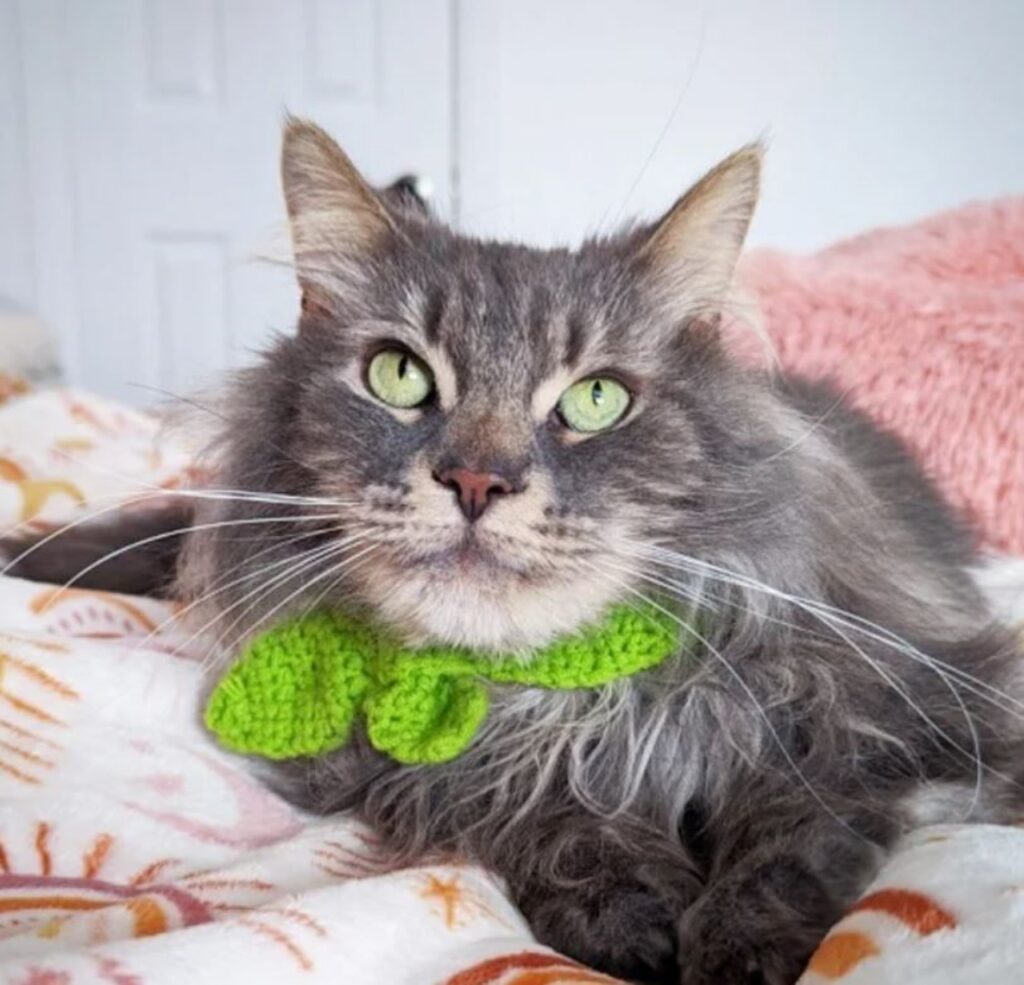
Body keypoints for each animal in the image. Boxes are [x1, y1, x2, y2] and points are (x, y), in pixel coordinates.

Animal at [4, 122, 1019, 982]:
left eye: (597, 399)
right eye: (398, 375)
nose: (476, 481)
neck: (556, 691)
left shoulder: (900, 706)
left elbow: (798, 825)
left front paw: (741, 945)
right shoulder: (400, 764)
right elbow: (540, 810)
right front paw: (629, 909)